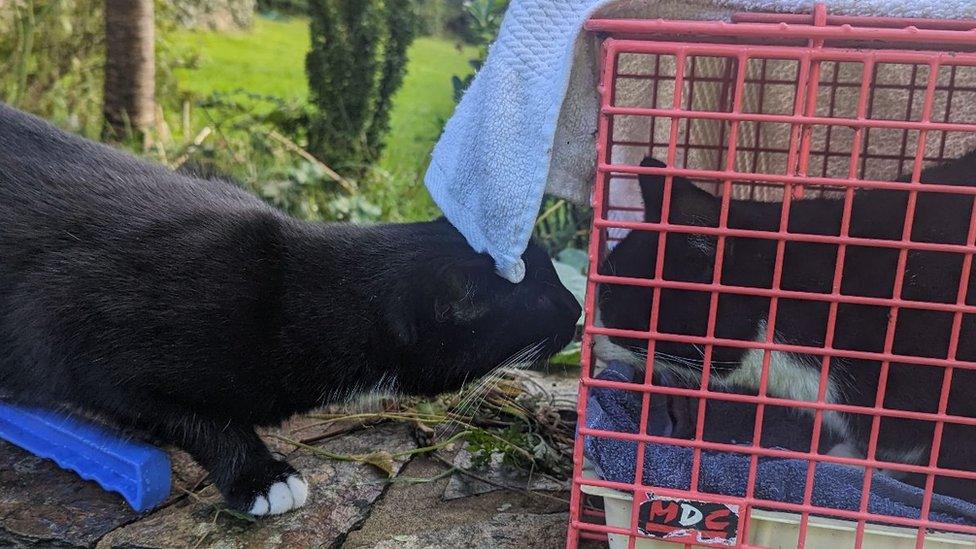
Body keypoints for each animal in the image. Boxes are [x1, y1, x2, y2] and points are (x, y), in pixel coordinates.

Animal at [0, 103, 580, 512]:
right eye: (540, 297)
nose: (576, 309)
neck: (292, 290)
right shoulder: (79, 338)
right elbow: (192, 417)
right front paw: (260, 476)